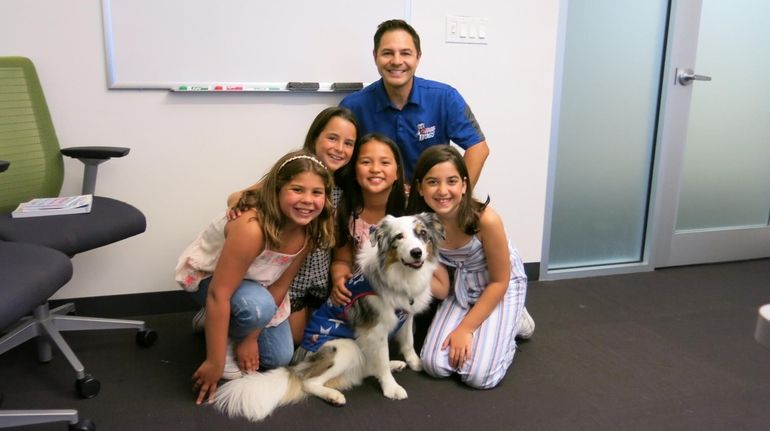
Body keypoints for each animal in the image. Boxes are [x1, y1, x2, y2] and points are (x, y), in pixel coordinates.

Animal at [213, 214, 440, 424]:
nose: (416, 252)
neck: (402, 275)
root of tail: (297, 366)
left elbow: (408, 342)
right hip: (345, 347)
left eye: (422, 234)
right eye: (399, 237)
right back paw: (333, 395)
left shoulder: (406, 315)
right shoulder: (375, 330)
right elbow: (382, 360)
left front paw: (415, 362)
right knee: (309, 382)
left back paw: (395, 364)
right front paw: (392, 388)